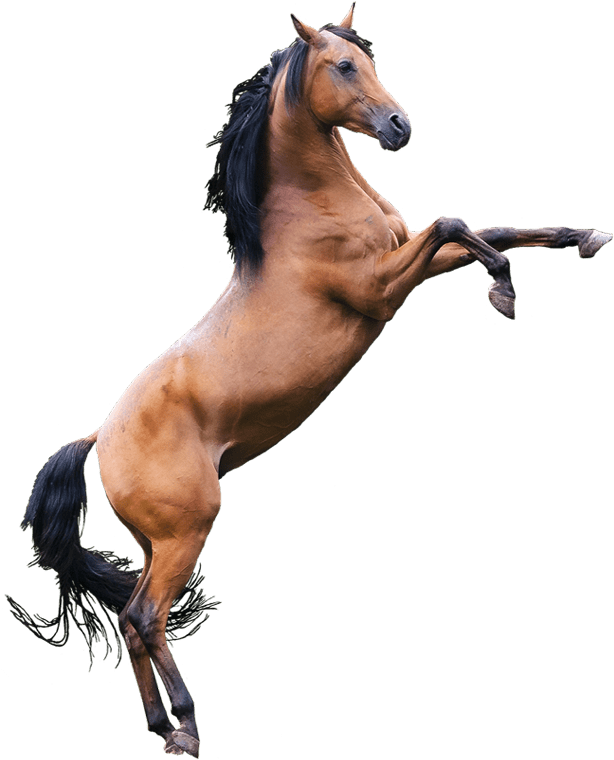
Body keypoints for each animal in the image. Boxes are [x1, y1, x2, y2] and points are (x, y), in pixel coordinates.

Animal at [7, 3, 611, 756]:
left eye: (372, 62)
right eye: (343, 67)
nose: (399, 127)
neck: (310, 214)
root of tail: (98, 439)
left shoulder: (411, 261)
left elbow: (491, 227)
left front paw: (586, 238)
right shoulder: (382, 288)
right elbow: (458, 222)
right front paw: (503, 293)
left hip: (154, 542)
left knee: (133, 623)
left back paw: (162, 726)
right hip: (185, 533)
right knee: (145, 617)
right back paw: (188, 727)